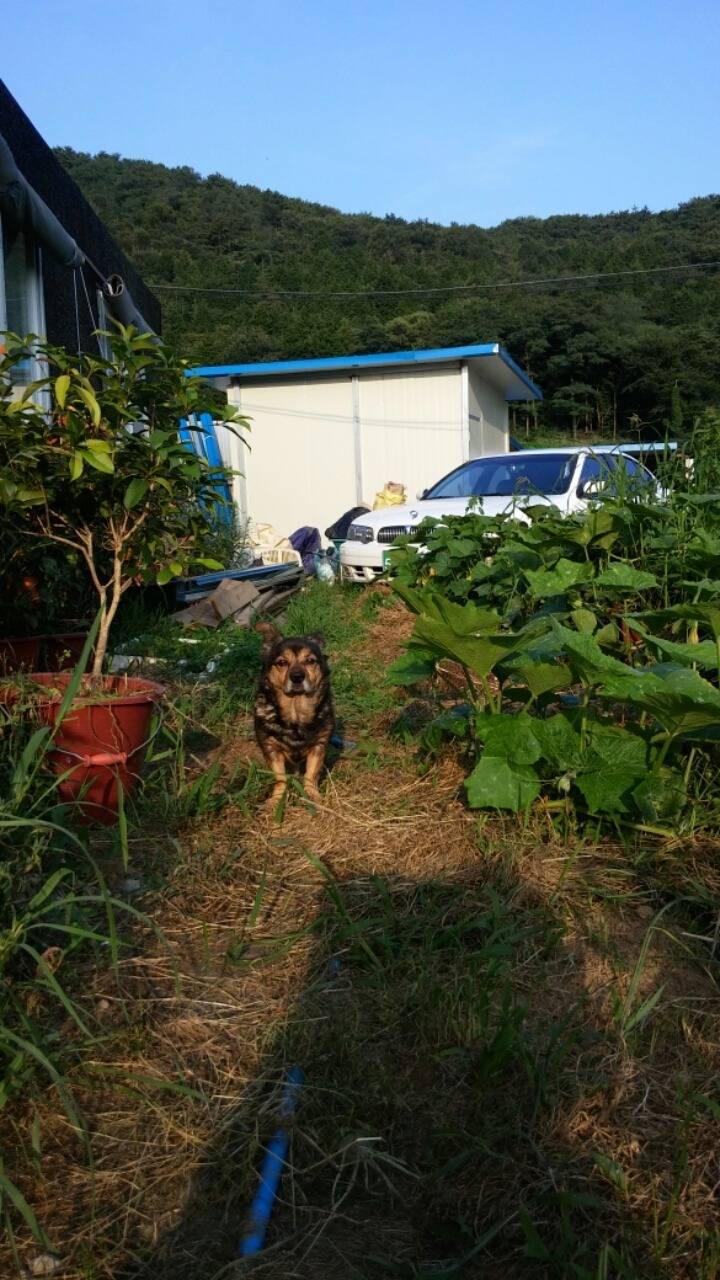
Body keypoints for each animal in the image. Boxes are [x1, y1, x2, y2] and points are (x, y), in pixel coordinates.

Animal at [253, 622, 335, 798]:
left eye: (310, 661)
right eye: (282, 662)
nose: (297, 676)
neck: (296, 711)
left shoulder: (319, 745)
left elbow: (311, 774)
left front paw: (313, 796)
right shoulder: (271, 747)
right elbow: (280, 778)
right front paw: (276, 800)